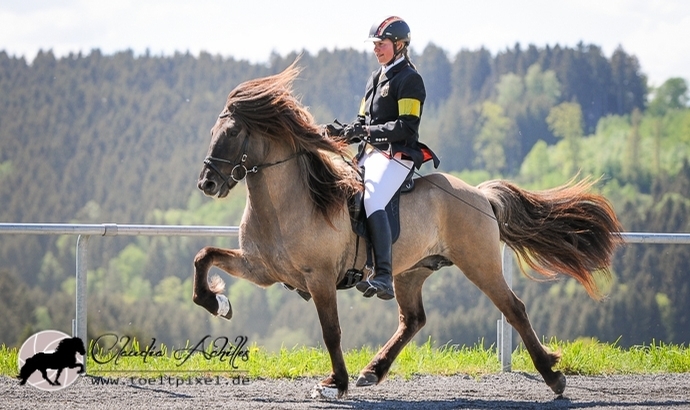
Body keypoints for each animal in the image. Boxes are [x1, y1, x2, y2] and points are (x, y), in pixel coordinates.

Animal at [191, 61, 620, 398]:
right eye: (212, 131)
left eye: (232, 133)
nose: (207, 183)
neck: (288, 205)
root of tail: (480, 195)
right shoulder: (261, 269)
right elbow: (204, 257)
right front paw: (217, 302)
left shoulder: (320, 279)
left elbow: (332, 332)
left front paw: (334, 383)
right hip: (412, 271)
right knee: (413, 319)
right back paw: (372, 371)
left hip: (479, 263)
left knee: (514, 308)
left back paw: (553, 377)